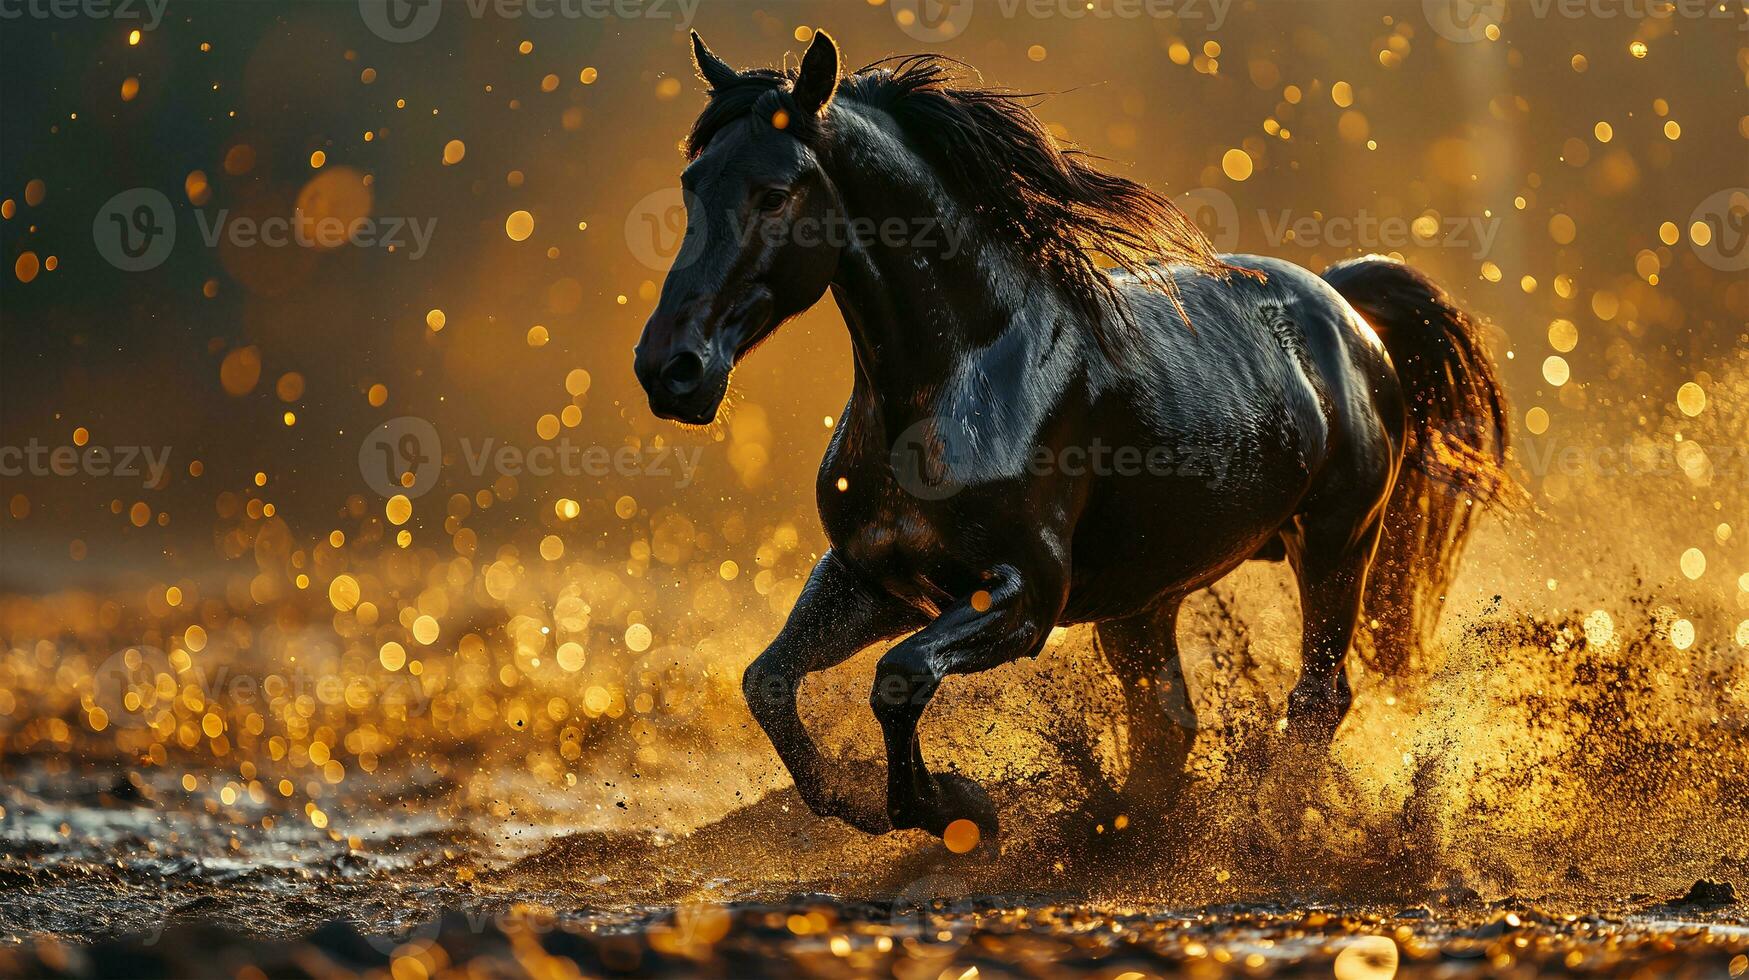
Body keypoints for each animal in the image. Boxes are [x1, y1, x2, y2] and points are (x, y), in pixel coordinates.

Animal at [636, 30, 1511, 843]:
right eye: (690, 184)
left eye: (774, 193)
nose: (669, 369)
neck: (964, 375)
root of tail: (1344, 305)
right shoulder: (870, 577)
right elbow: (768, 683)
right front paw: (874, 804)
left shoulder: (1025, 595)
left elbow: (899, 676)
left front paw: (957, 806)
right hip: (1144, 602)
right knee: (1168, 727)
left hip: (1335, 544)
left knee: (1318, 698)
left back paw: (1268, 829)